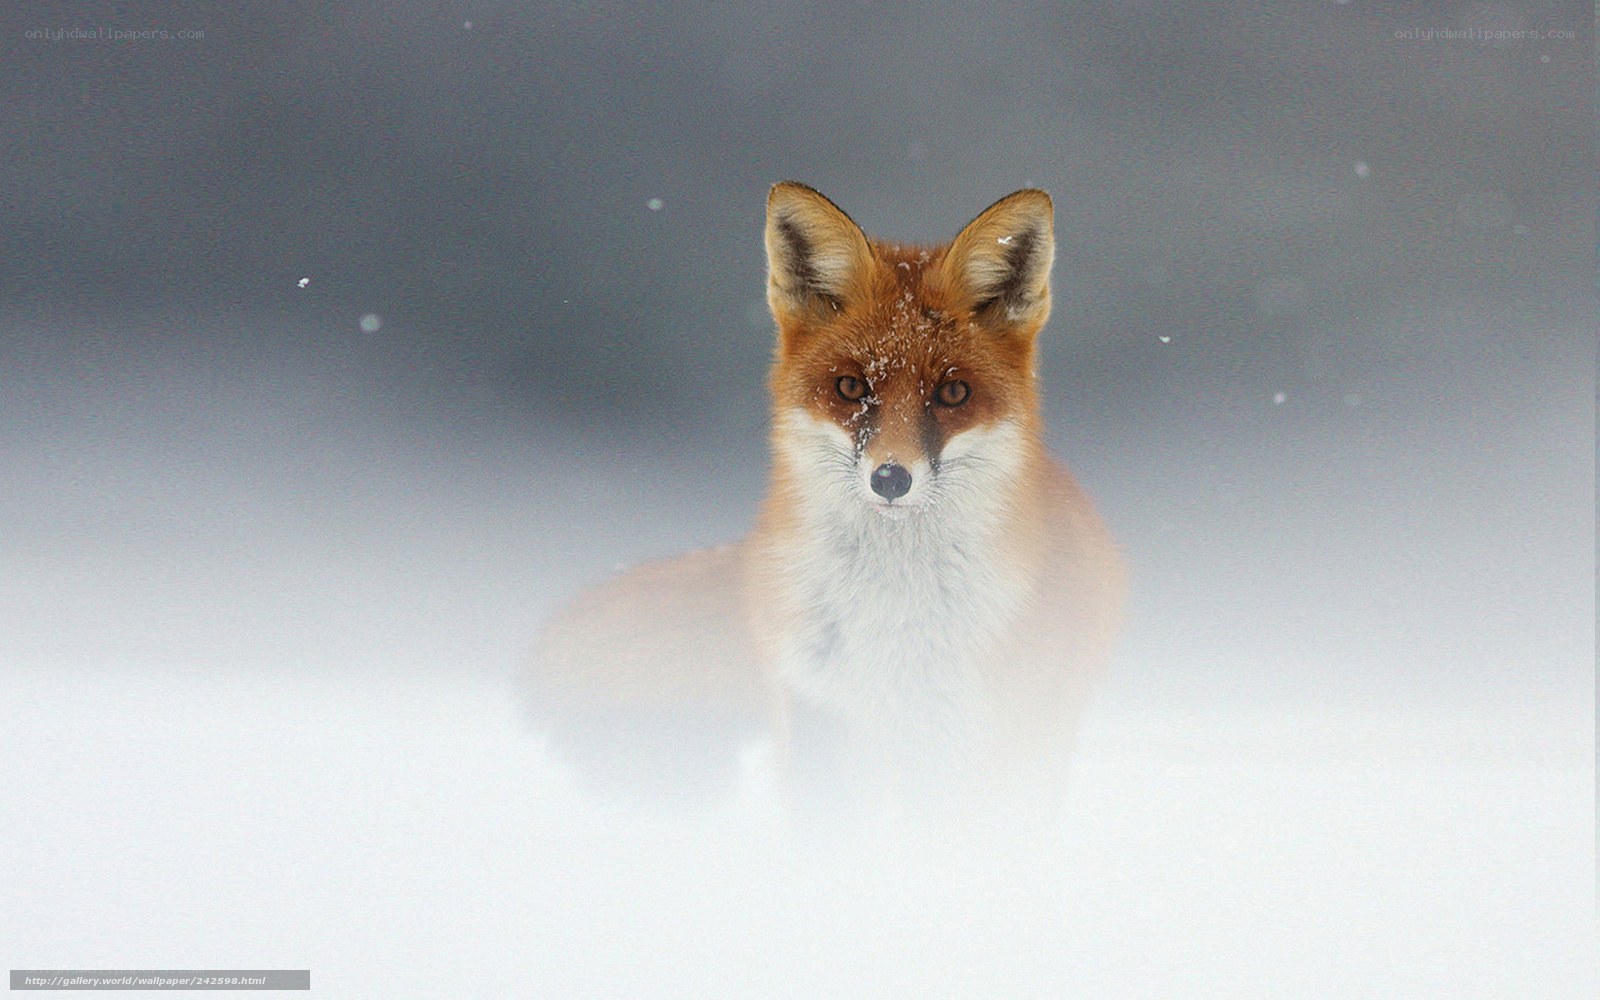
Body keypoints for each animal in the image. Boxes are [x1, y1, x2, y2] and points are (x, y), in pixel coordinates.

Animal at [531, 183, 1125, 833]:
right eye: (850, 388)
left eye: (952, 393)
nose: (891, 478)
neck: (893, 617)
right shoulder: (818, 712)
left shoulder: (970, 741)